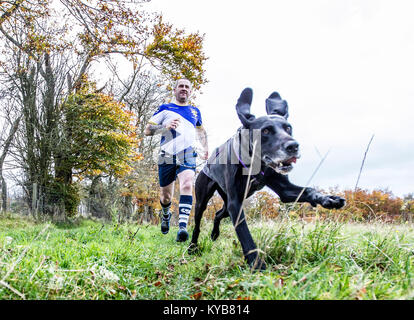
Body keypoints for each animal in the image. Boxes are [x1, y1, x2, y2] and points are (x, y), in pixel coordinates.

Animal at [189, 87, 344, 270]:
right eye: (265, 131)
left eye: (288, 128)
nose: (293, 146)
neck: (257, 164)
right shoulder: (235, 204)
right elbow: (245, 235)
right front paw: (257, 265)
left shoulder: (284, 190)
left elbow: (308, 190)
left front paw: (328, 199)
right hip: (203, 199)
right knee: (198, 223)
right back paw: (192, 247)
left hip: (229, 202)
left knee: (219, 213)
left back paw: (214, 234)